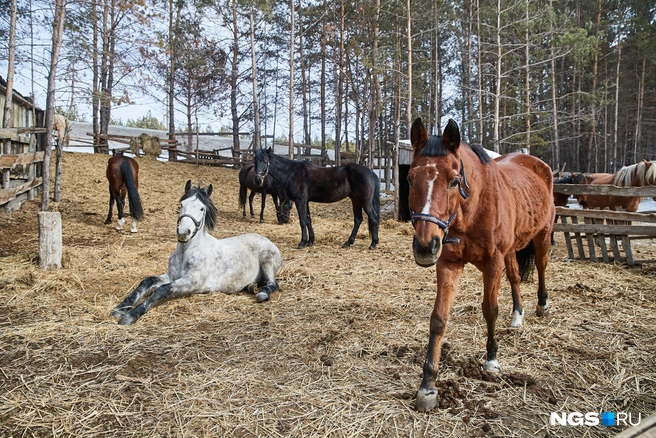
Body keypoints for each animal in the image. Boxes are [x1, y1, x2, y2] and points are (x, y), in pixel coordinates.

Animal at [111, 179, 284, 326]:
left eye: (202, 208)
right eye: (181, 204)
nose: (183, 232)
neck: (187, 253)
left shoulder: (193, 282)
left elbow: (162, 289)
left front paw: (130, 315)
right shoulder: (172, 276)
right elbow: (146, 282)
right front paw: (120, 308)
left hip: (267, 261)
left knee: (272, 283)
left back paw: (262, 293)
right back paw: (251, 287)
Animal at [408, 118, 556, 412]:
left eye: (454, 181)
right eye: (409, 178)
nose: (425, 247)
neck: (472, 209)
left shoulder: (493, 261)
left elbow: (490, 309)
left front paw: (491, 361)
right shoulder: (449, 263)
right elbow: (438, 319)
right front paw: (427, 387)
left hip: (542, 235)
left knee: (542, 266)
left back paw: (542, 306)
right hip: (511, 250)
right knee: (515, 277)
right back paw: (517, 315)